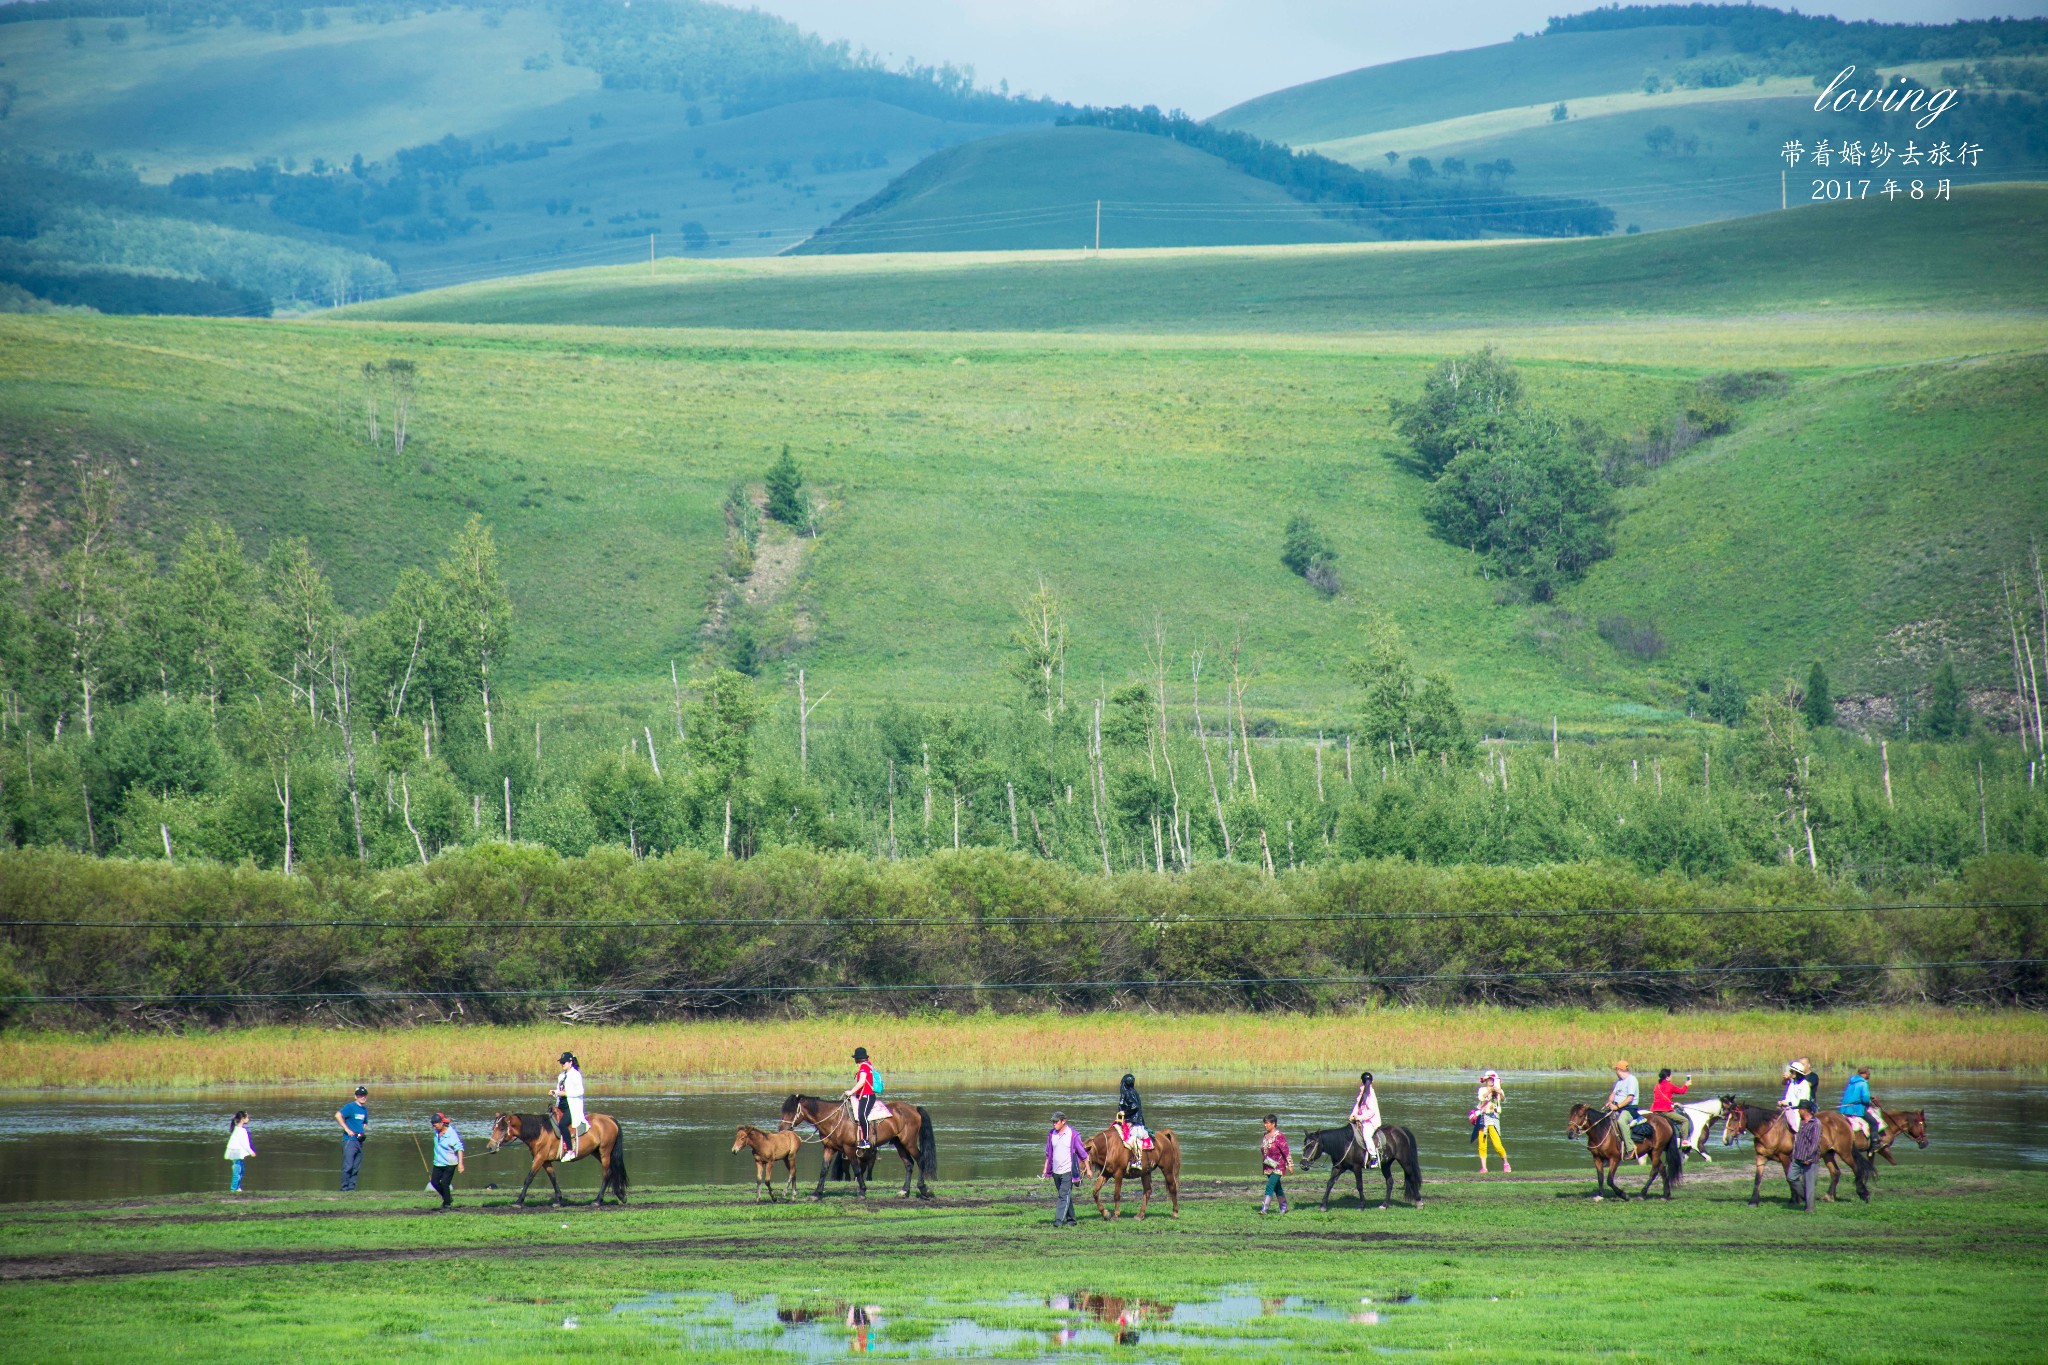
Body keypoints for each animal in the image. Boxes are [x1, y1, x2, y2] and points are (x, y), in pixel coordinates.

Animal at [489, 1113, 630, 1203]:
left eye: (502, 1128)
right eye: (493, 1127)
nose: (490, 1147)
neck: (540, 1132)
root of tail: (609, 1118)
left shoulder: (539, 1158)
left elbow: (529, 1178)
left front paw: (519, 1201)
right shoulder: (546, 1161)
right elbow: (553, 1177)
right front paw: (558, 1199)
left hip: (605, 1151)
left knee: (607, 1173)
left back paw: (598, 1200)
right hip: (597, 1152)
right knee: (612, 1171)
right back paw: (620, 1195)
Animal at [778, 1096, 937, 1203]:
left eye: (791, 1111)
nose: (781, 1129)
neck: (834, 1119)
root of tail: (914, 1108)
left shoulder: (849, 1148)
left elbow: (857, 1169)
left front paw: (862, 1192)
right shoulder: (829, 1148)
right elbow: (823, 1170)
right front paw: (817, 1193)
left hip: (909, 1142)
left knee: (921, 1160)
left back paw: (924, 1189)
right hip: (899, 1144)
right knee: (909, 1164)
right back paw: (904, 1191)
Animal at [1294, 1129, 1425, 1211]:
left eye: (1312, 1145)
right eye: (1305, 1144)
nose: (1303, 1164)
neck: (1345, 1145)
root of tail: (1400, 1130)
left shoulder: (1357, 1168)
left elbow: (1359, 1186)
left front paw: (1361, 1205)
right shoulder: (1338, 1168)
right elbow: (1330, 1184)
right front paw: (1323, 1205)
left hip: (1405, 1161)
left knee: (1412, 1178)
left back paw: (1419, 1202)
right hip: (1386, 1164)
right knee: (1389, 1182)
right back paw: (1384, 1205)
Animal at [1712, 1096, 1875, 1203]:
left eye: (1734, 1118)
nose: (1725, 1139)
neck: (1771, 1130)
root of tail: (1842, 1118)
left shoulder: (1785, 1157)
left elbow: (1789, 1178)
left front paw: (1796, 1198)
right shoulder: (1760, 1157)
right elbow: (1758, 1178)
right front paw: (1753, 1200)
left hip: (1845, 1152)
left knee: (1856, 1168)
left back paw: (1863, 1193)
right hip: (1828, 1154)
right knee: (1835, 1172)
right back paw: (1829, 1196)